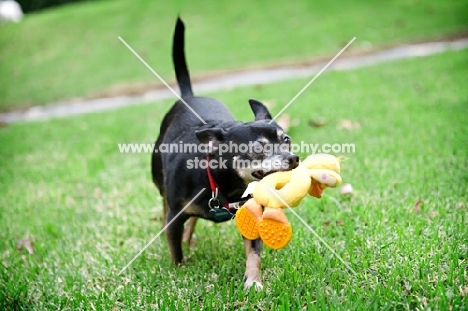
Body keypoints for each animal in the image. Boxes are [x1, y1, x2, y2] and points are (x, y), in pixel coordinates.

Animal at [153, 17, 300, 290]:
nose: (293, 158)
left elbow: (253, 253)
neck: (223, 185)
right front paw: (178, 274)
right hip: (160, 182)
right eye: (258, 148)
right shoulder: (175, 216)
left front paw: (253, 281)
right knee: (165, 205)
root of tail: (189, 96)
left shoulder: (251, 217)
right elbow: (175, 251)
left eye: (286, 140)